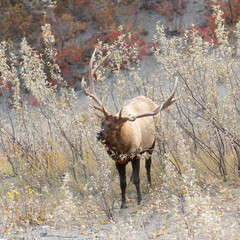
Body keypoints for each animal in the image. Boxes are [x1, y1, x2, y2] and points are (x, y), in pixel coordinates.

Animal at [81, 49, 177, 208]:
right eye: (102, 123)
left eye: (115, 128)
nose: (99, 135)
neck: (122, 149)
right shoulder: (117, 161)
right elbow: (122, 183)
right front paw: (123, 204)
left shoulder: (135, 154)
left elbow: (138, 178)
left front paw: (139, 199)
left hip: (153, 140)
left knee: (149, 164)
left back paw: (150, 184)